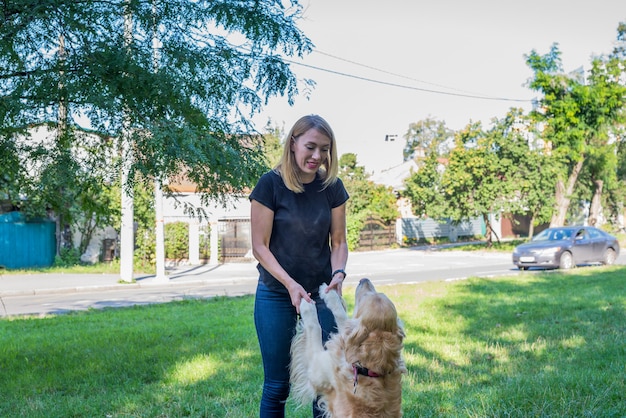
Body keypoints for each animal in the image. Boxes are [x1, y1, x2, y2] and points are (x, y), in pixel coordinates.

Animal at [288, 278, 404, 418]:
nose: (364, 279)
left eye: (365, 297)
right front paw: (330, 293)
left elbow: (315, 326)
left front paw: (308, 302)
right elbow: (342, 316)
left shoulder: (316, 368)